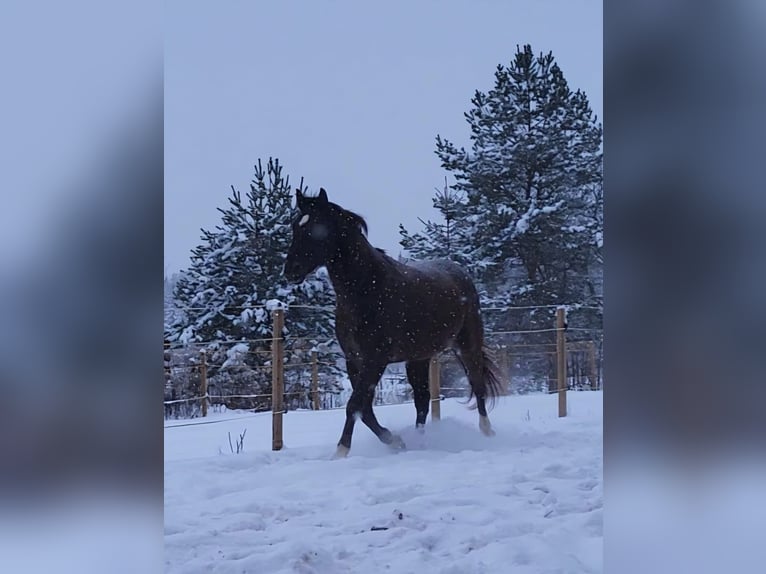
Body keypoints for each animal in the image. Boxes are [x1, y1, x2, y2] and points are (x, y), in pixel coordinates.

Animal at [283, 187, 503, 458]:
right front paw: (395, 441)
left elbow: (354, 405)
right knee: (422, 401)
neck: (368, 289)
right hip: (418, 358)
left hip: (467, 346)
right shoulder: (354, 360)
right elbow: (365, 409)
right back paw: (421, 440)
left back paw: (487, 433)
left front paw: (341, 451)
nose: (290, 271)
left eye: (317, 228)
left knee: (477, 386)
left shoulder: (375, 360)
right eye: (295, 226)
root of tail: (461, 272)